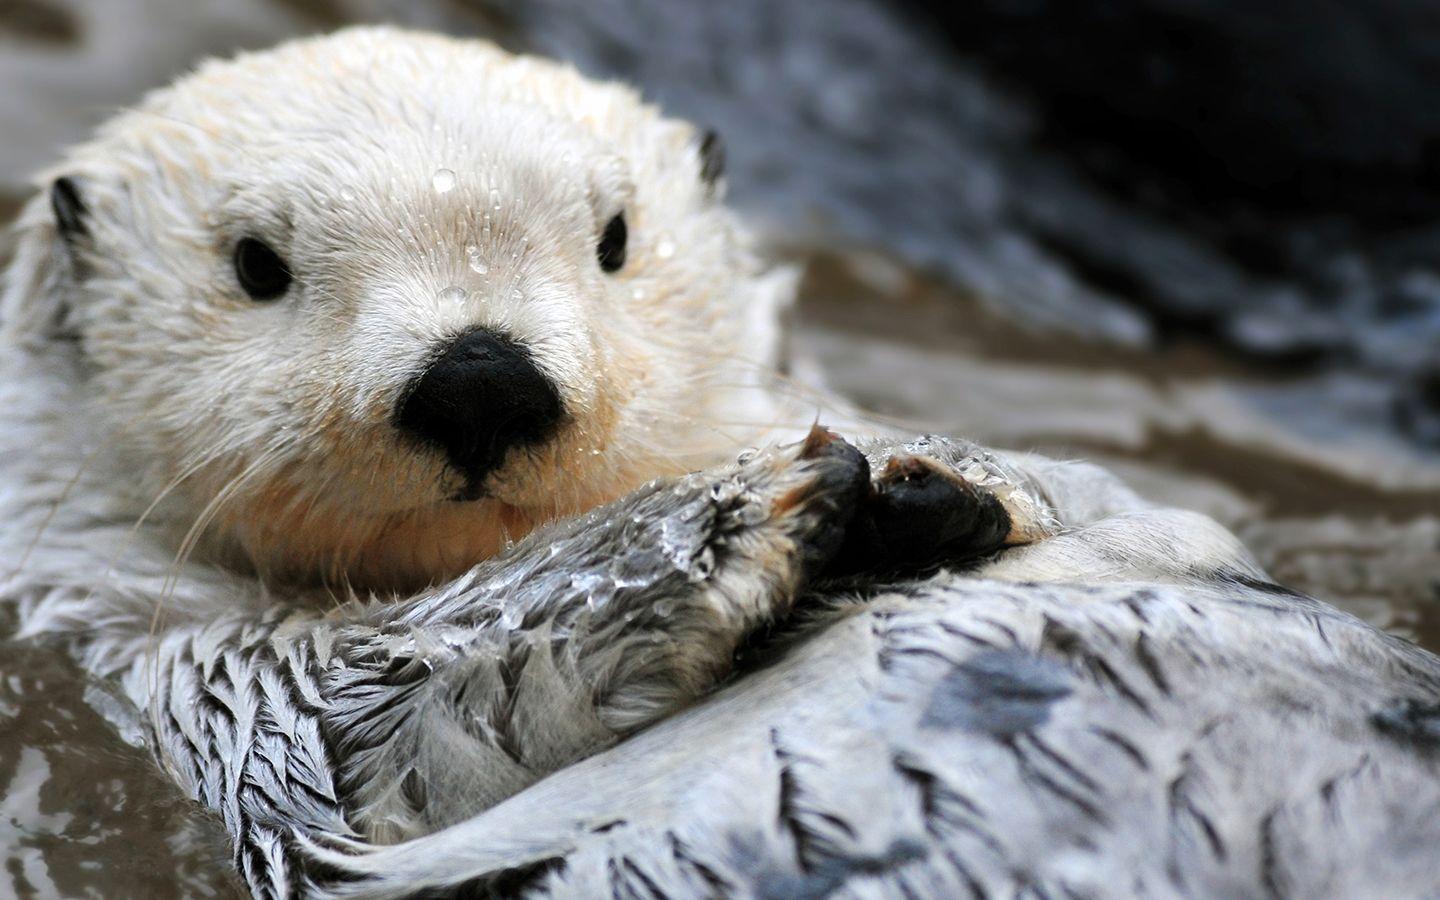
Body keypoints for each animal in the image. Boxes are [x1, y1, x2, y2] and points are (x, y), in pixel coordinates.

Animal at [7, 27, 1437, 900]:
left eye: (615, 237)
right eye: (256, 265)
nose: (480, 378)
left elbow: (1111, 505)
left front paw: (932, 485)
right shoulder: (211, 678)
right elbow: (389, 714)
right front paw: (738, 519)